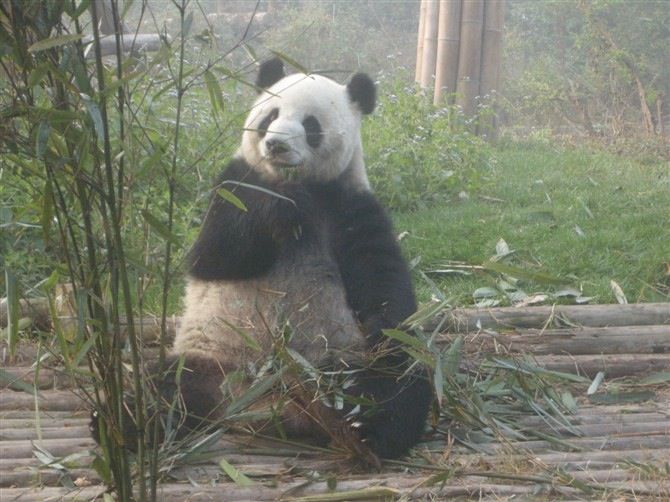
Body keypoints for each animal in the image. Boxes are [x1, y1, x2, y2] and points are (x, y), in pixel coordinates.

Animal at [96, 58, 432, 460]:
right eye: (270, 115)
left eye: (311, 125)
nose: (276, 144)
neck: (294, 184)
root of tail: (257, 403)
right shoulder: (235, 184)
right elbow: (213, 254)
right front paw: (279, 206)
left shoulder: (348, 203)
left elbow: (382, 279)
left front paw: (385, 324)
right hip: (208, 356)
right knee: (158, 382)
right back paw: (126, 423)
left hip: (334, 362)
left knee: (393, 384)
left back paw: (368, 432)